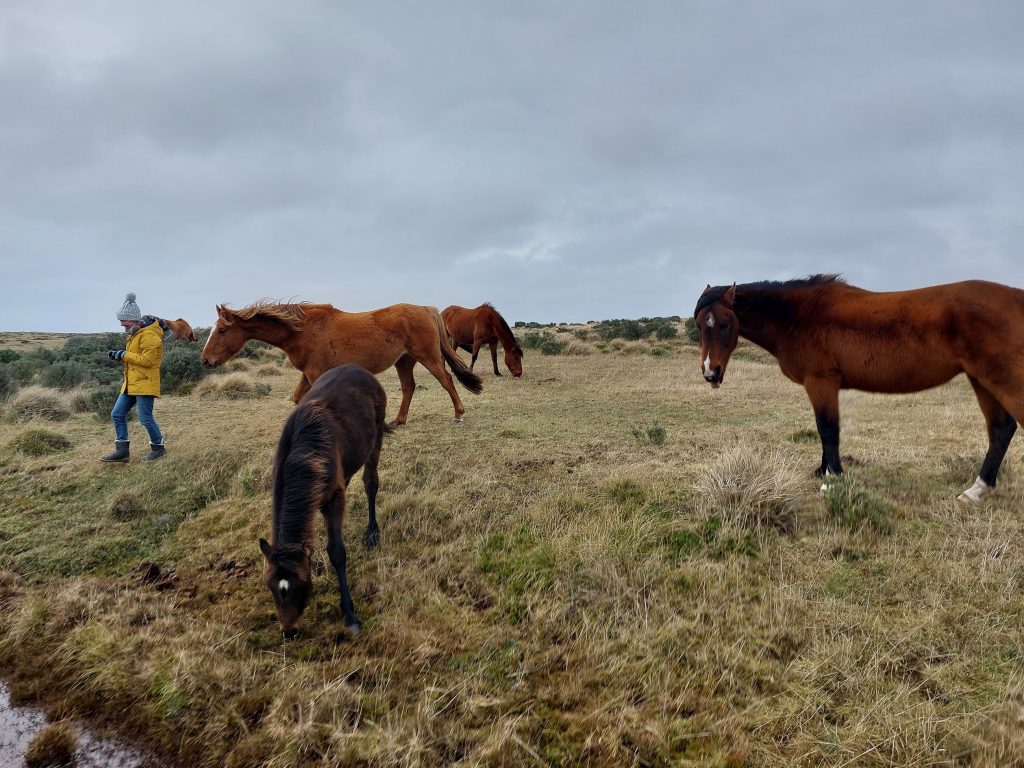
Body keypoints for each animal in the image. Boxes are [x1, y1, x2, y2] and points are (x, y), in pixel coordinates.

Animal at [204, 301, 487, 423]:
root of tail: (426, 309)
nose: (206, 360)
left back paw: (458, 414)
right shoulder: (307, 373)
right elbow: (298, 398)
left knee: (446, 379)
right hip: (404, 361)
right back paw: (398, 420)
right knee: (409, 388)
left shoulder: (315, 373)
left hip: (427, 356)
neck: (301, 328)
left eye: (222, 331)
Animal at [260, 364, 391, 638]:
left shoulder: (333, 499)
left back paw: (372, 533)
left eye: (300, 585)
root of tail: (361, 370)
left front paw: (349, 614)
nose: (289, 631)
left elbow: (337, 552)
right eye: (270, 586)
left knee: (370, 483)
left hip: (376, 437)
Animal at [696, 276, 1024, 505]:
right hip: (981, 381)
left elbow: (828, 429)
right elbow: (826, 432)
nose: (711, 372)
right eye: (699, 325)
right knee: (1000, 431)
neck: (798, 316)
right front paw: (824, 471)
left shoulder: (822, 382)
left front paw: (831, 481)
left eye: (724, 324)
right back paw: (976, 491)